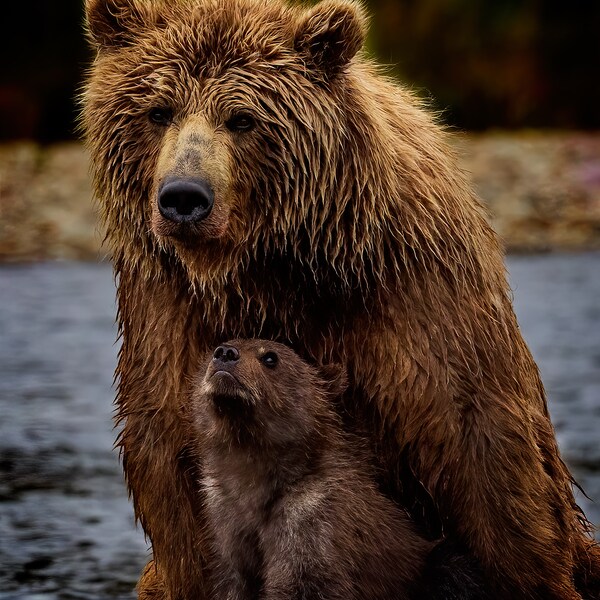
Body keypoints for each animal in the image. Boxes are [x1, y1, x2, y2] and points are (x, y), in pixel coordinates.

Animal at [193, 340, 488, 596]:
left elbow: (304, 580)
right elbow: (233, 578)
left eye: (270, 357)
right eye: (221, 344)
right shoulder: (228, 519)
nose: (225, 354)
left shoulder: (312, 518)